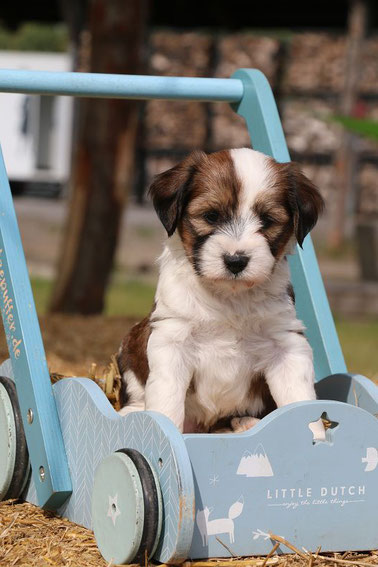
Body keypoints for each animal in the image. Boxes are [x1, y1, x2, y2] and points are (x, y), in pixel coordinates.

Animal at [118, 146, 324, 434]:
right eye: (211, 216)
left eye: (267, 220)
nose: (236, 261)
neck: (230, 296)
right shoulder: (172, 339)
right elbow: (167, 400)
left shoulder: (286, 345)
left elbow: (301, 402)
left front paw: (318, 437)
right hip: (130, 346)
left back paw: (246, 422)